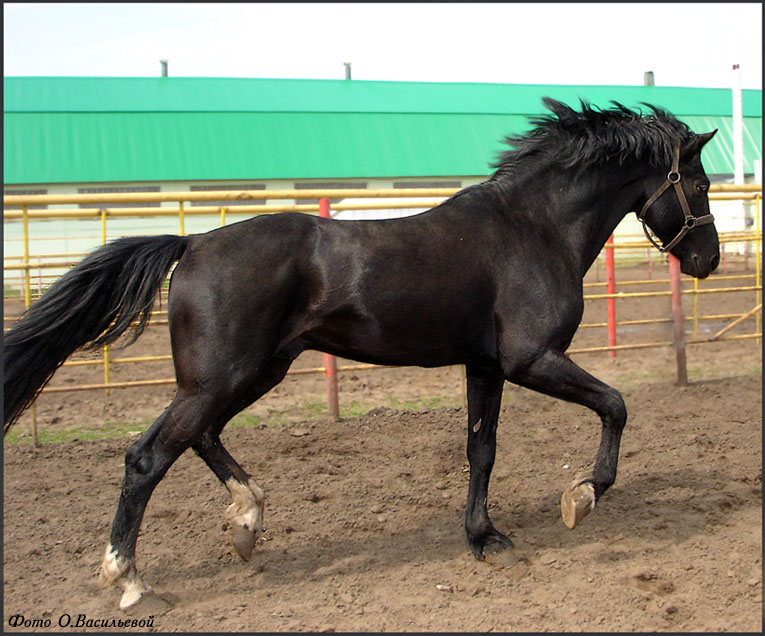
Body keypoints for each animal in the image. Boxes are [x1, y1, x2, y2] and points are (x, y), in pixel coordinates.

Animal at [4, 97, 716, 608]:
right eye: (701, 184)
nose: (707, 260)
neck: (534, 228)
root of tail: (193, 242)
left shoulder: (485, 367)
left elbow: (481, 451)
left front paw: (485, 540)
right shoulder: (530, 360)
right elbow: (615, 405)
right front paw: (583, 496)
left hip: (253, 373)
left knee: (199, 438)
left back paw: (247, 522)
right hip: (218, 380)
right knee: (146, 458)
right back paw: (129, 580)